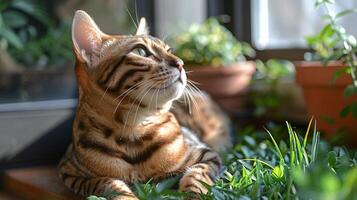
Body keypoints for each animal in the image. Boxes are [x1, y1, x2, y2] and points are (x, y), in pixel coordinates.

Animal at [57, 10, 231, 200]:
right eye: (141, 51)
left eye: (169, 50)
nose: (181, 63)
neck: (133, 130)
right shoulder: (71, 172)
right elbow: (108, 182)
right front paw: (125, 196)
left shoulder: (207, 154)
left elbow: (196, 176)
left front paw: (193, 195)